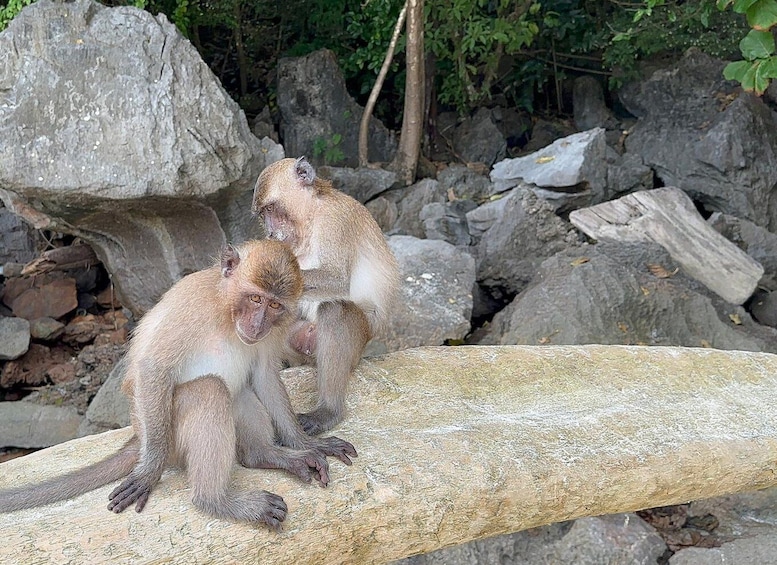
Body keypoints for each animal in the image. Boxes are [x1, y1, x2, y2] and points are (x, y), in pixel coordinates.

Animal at [0, 239, 357, 529]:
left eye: (274, 305)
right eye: (255, 298)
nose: (257, 325)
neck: (226, 311)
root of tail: (137, 437)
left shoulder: (275, 331)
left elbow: (264, 376)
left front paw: (304, 443)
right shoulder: (194, 305)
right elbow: (153, 368)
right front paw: (150, 471)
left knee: (237, 391)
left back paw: (265, 456)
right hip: (166, 428)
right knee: (210, 390)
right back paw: (216, 500)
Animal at [252, 156, 400, 435]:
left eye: (272, 209)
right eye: (264, 214)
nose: (270, 233)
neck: (312, 215)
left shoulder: (336, 221)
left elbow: (337, 280)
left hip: (358, 341)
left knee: (335, 311)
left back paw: (329, 411)